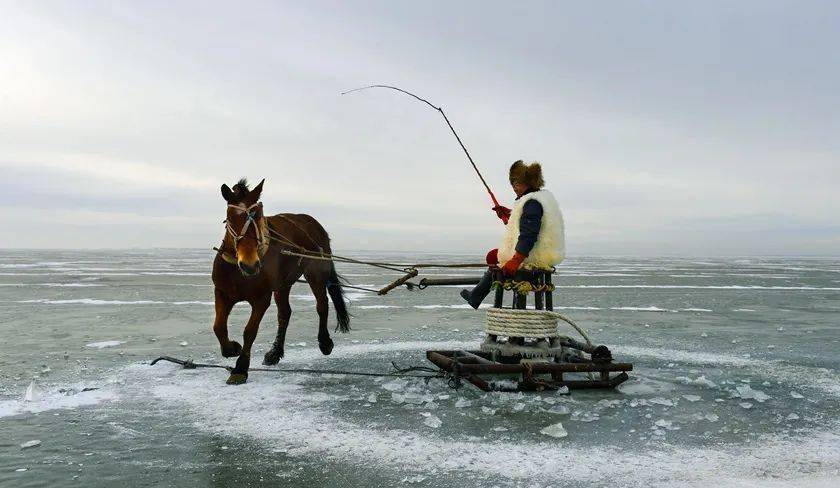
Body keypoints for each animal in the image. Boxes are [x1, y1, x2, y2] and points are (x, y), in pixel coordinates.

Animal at [213, 177, 352, 384]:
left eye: (259, 215)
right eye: (231, 217)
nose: (249, 264)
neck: (238, 271)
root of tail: (314, 224)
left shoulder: (261, 299)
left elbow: (250, 331)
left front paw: (241, 367)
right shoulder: (223, 293)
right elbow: (219, 327)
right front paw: (231, 349)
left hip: (315, 274)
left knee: (322, 304)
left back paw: (325, 342)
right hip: (282, 284)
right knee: (285, 313)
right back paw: (275, 352)